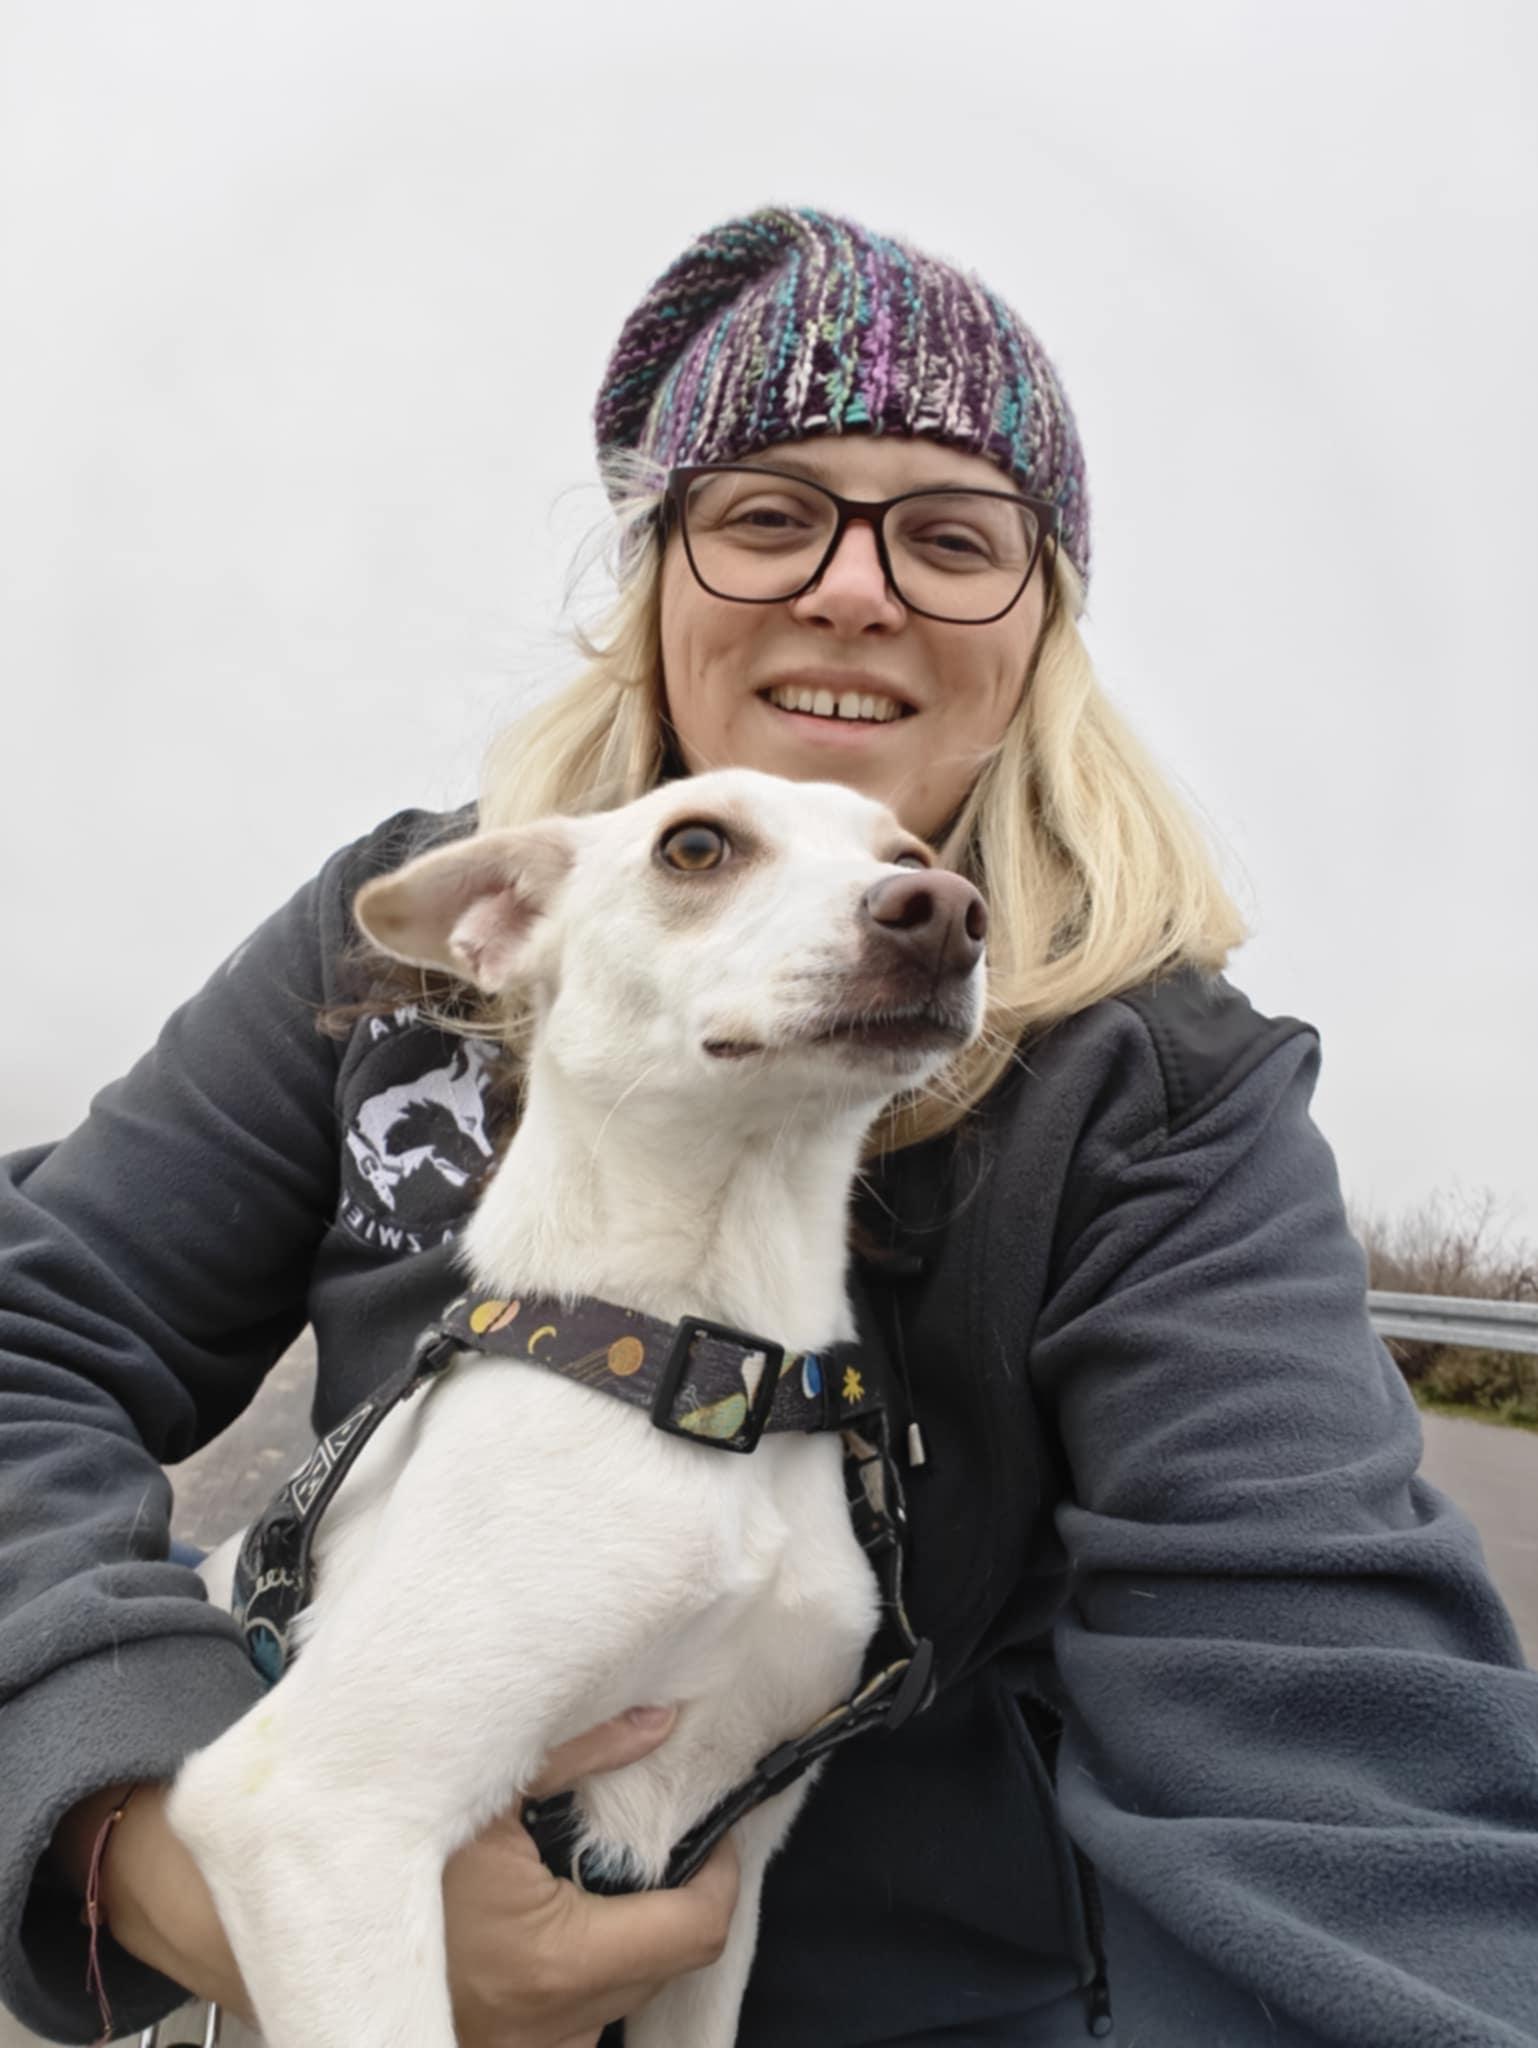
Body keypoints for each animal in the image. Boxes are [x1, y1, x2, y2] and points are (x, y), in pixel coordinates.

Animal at [105, 769, 986, 2048]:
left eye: (910, 852)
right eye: (695, 845)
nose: (948, 912)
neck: (709, 1373)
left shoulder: (724, 1862)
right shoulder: (311, 1812)